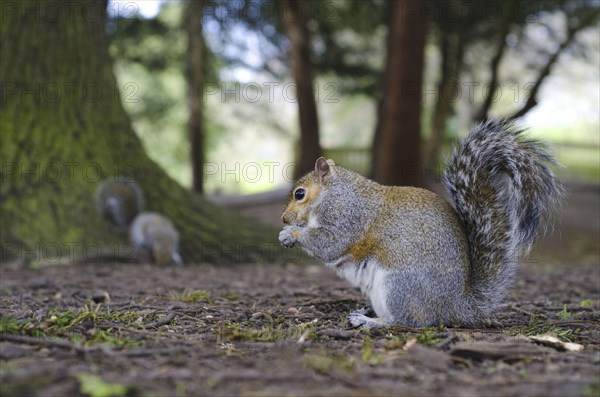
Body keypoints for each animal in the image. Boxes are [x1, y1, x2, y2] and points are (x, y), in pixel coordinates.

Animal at [278, 120, 564, 328]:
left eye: (300, 194)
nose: (284, 218)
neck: (335, 193)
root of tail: (458, 306)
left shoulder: (347, 217)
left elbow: (330, 243)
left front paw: (291, 233)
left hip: (399, 286)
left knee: (408, 321)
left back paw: (371, 322)